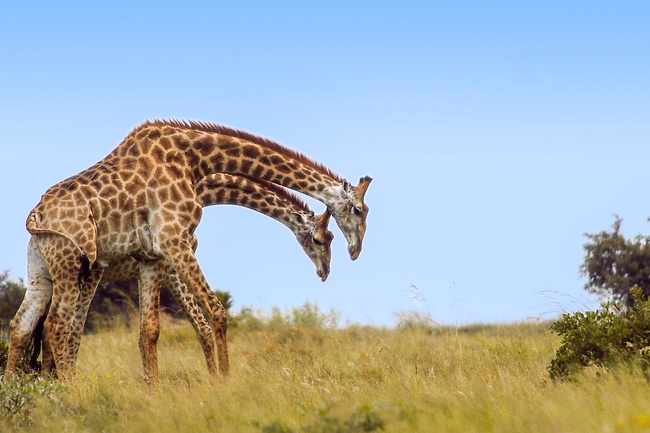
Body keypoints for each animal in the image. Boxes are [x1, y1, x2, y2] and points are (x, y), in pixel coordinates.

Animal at [31, 173, 332, 382]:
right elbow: (200, 325)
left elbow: (174, 329)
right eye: (322, 239)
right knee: (65, 327)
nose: (325, 271)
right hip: (89, 273)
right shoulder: (170, 266)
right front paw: (216, 380)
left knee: (45, 326)